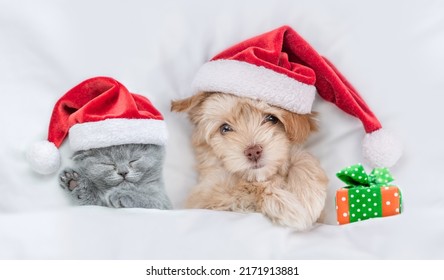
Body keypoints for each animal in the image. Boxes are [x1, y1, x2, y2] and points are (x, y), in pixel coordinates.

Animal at [172, 93, 328, 231]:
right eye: (225, 128)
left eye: (271, 118)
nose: (253, 152)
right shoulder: (207, 197)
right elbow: (247, 189)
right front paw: (287, 207)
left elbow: (301, 157)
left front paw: (309, 196)